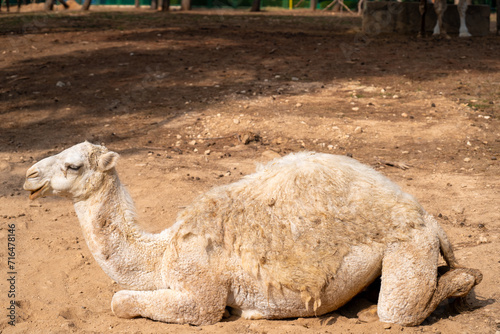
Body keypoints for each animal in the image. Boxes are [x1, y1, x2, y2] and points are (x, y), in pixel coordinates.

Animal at [23, 142, 480, 326]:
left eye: (73, 165)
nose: (29, 176)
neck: (162, 252)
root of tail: (426, 216)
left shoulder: (201, 294)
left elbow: (120, 301)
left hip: (409, 246)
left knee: (397, 311)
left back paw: (464, 280)